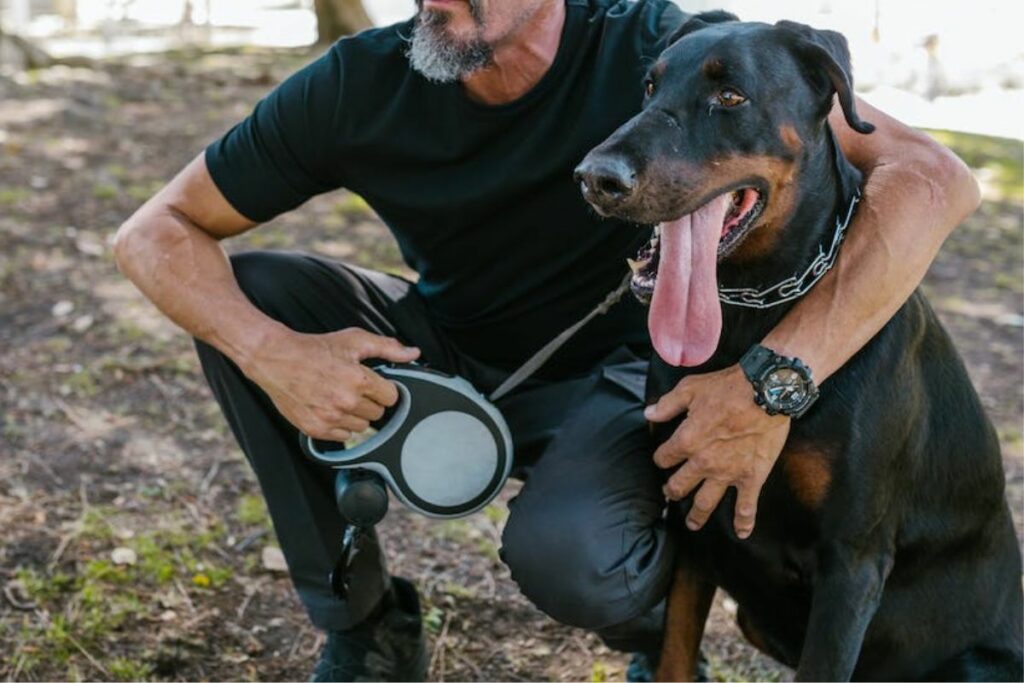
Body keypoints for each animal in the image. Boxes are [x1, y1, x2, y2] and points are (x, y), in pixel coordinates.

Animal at [577, 10, 1024, 683]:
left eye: (730, 96)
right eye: (650, 87)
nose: (595, 178)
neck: (750, 315)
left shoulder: (852, 563)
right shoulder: (693, 515)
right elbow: (676, 649)